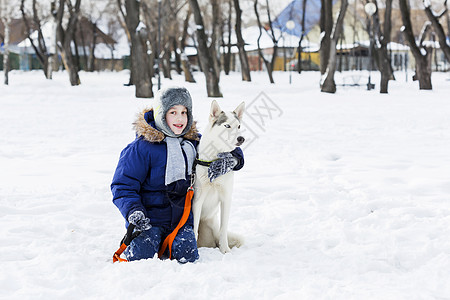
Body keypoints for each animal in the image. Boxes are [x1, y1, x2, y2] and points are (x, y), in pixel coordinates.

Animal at [192, 100, 244, 253]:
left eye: (239, 126)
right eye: (227, 125)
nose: (241, 138)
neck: (214, 160)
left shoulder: (226, 199)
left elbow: (223, 229)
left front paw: (225, 250)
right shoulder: (197, 200)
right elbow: (194, 229)